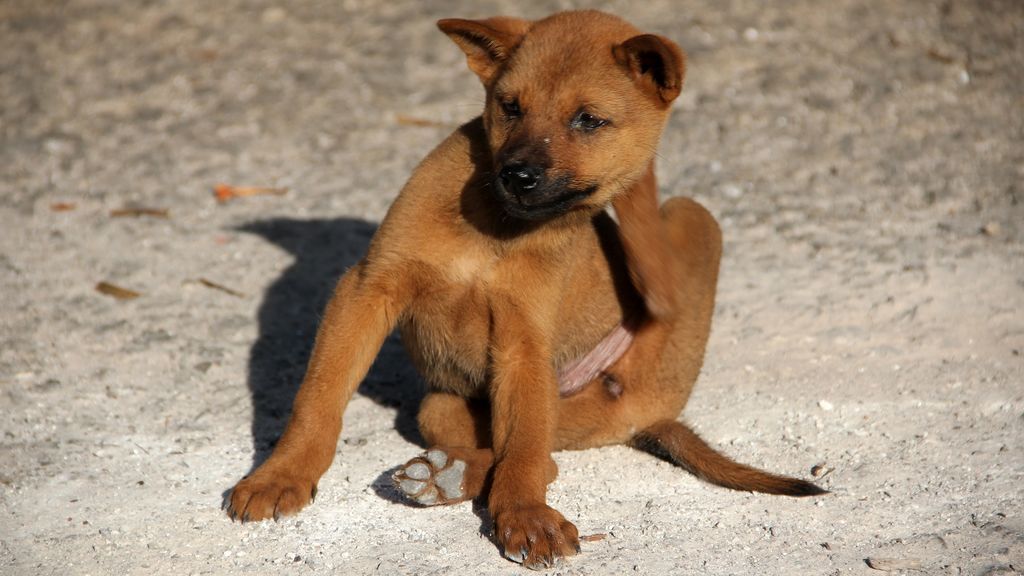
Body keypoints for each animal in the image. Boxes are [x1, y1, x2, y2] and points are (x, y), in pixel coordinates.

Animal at [226, 8, 823, 569]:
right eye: (510, 107)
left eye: (589, 120)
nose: (518, 176)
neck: (495, 228)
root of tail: (654, 415)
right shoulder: (367, 289)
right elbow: (318, 398)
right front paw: (281, 475)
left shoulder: (523, 342)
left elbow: (524, 451)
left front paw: (526, 517)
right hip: (442, 405)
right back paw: (444, 472)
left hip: (688, 221)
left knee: (542, 455)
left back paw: (445, 476)